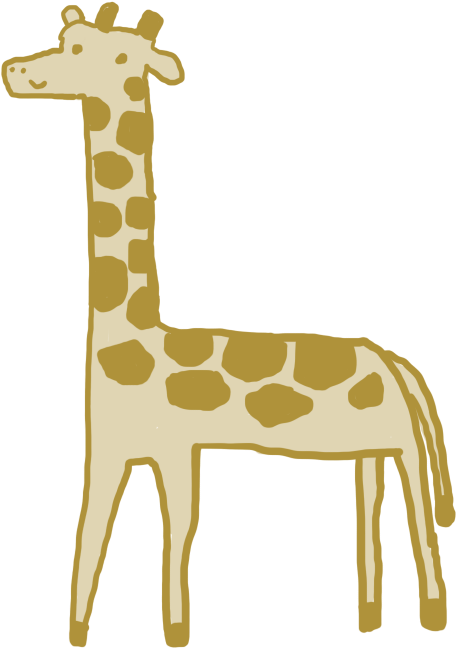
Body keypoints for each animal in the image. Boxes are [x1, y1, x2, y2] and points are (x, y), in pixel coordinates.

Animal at [2, 3, 455, 647]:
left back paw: (434, 616)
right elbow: (90, 537)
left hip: (402, 444)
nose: (16, 71)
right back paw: (368, 620)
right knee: (371, 507)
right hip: (369, 449)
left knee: (418, 508)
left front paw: (174, 635)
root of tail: (401, 367)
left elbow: (178, 532)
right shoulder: (111, 450)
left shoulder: (173, 446)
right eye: (67, 39)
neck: (133, 340)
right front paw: (80, 635)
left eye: (104, 53)